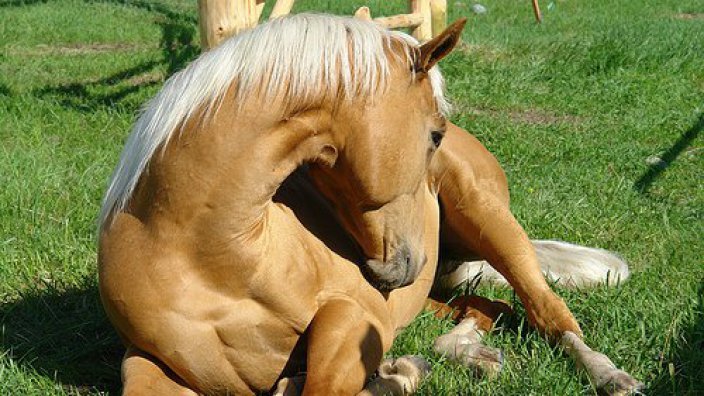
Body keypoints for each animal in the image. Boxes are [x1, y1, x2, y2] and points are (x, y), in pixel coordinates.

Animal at [99, 13, 644, 394]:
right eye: (432, 133)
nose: (408, 262)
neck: (207, 259)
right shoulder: (147, 362)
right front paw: (394, 373)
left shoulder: (353, 317)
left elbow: (319, 385)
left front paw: (391, 377)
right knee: (481, 307)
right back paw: (468, 356)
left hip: (490, 223)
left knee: (547, 311)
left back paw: (609, 377)